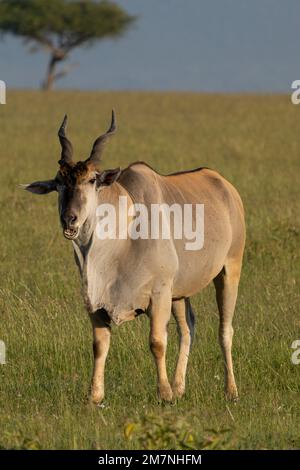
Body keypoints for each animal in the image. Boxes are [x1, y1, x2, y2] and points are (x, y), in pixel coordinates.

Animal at [24, 111, 245, 404]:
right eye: (59, 182)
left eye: (92, 180)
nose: (69, 219)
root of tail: (224, 185)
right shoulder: (96, 302)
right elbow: (99, 345)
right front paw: (95, 396)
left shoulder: (159, 294)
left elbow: (157, 342)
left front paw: (164, 394)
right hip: (179, 293)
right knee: (188, 328)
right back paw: (180, 387)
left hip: (228, 270)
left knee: (225, 330)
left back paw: (230, 390)